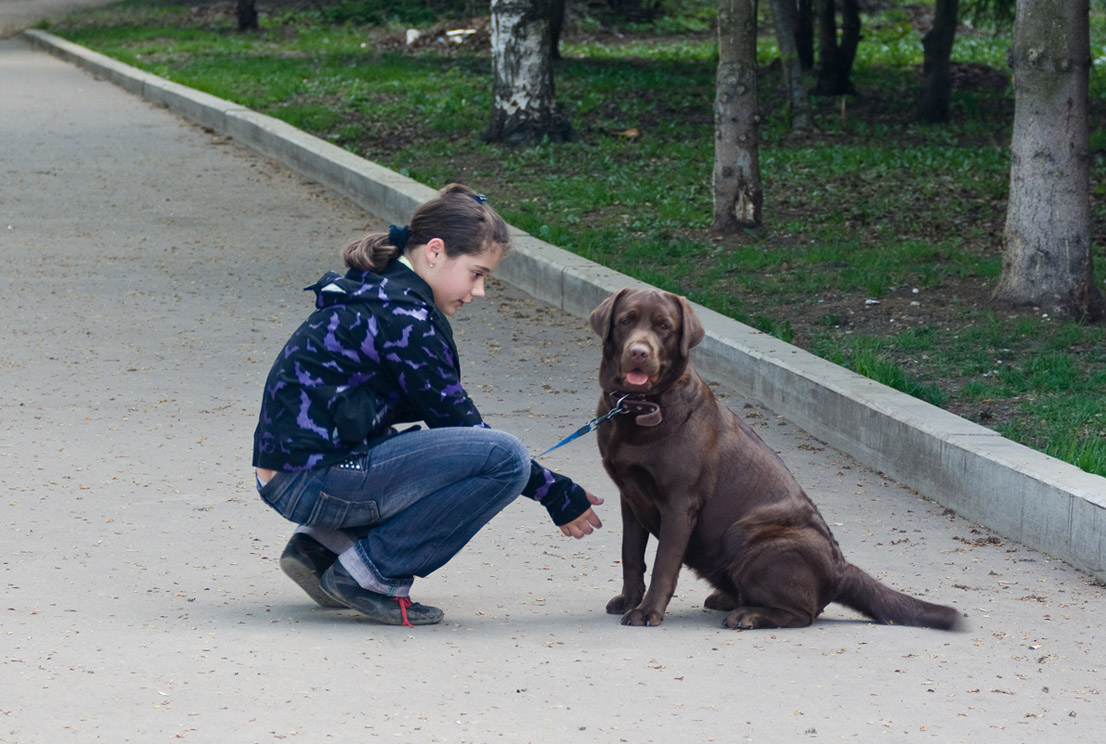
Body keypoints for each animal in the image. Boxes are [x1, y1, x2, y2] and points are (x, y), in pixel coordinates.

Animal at [592, 287, 964, 627]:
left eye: (664, 326)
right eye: (626, 321)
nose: (638, 352)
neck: (639, 407)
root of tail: (840, 569)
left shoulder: (680, 503)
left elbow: (664, 564)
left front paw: (647, 612)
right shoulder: (630, 498)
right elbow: (631, 555)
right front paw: (629, 600)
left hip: (750, 538)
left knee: (804, 614)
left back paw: (747, 615)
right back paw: (729, 599)